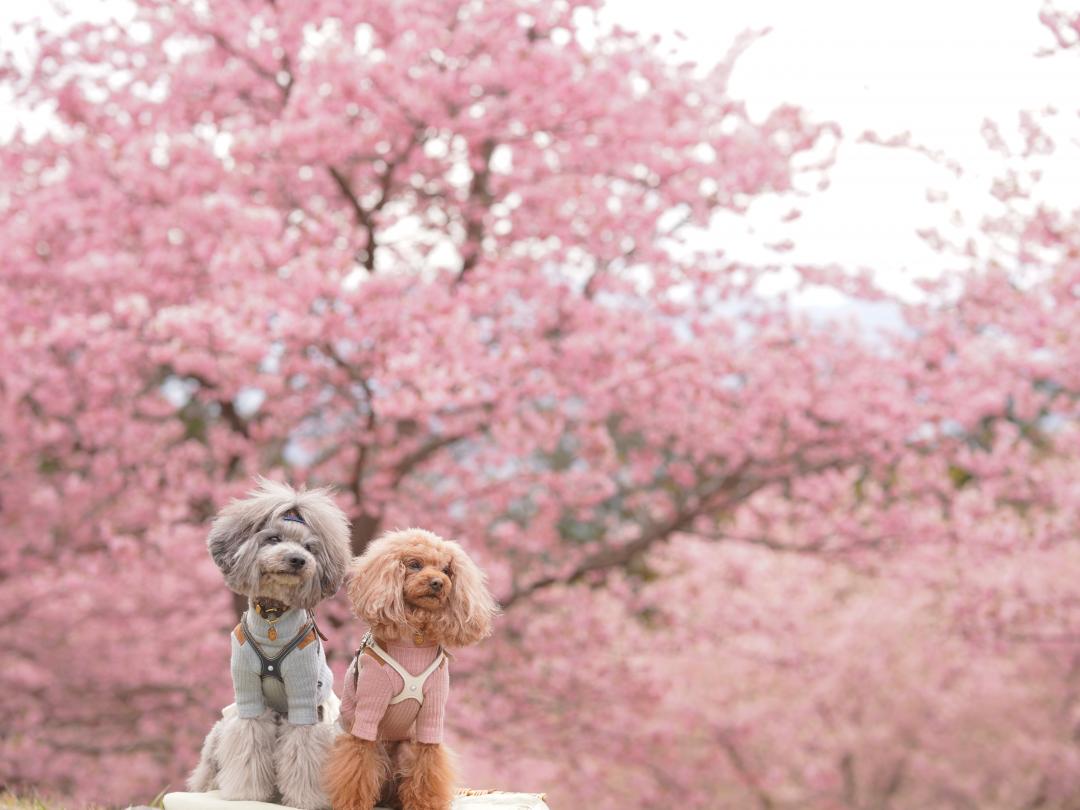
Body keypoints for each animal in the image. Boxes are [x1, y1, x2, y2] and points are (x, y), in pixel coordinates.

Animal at [187, 479, 349, 807]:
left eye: (310, 548)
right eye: (273, 538)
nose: (298, 560)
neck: (273, 618)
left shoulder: (304, 698)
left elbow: (303, 750)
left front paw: (306, 799)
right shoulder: (248, 694)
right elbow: (249, 742)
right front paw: (247, 793)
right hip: (219, 729)